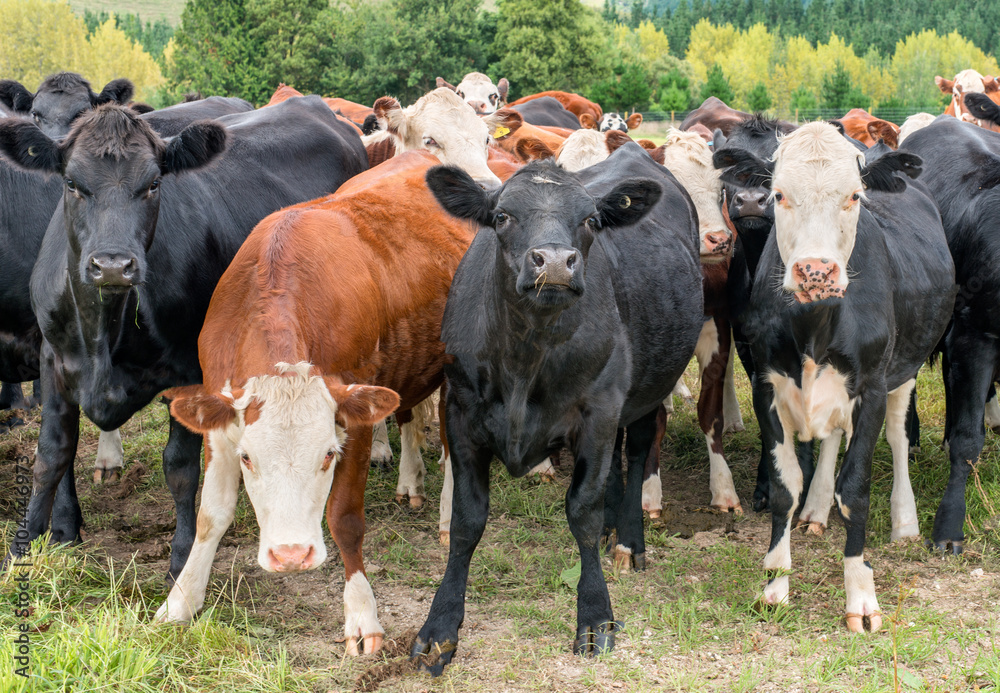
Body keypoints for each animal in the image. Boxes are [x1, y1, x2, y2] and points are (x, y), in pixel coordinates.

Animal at [0, 93, 368, 580]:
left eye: (154, 184)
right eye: (72, 183)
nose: (113, 265)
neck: (104, 337)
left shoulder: (188, 369)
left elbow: (179, 467)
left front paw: (182, 558)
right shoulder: (53, 362)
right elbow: (51, 456)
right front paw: (23, 551)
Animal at [157, 150, 476, 656]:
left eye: (328, 455)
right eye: (248, 459)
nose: (291, 555)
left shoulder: (355, 422)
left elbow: (344, 518)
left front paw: (361, 616)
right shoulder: (221, 424)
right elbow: (212, 515)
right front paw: (181, 601)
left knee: (450, 442)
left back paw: (448, 513)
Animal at [408, 141, 704, 672]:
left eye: (591, 220)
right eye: (502, 216)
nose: (554, 263)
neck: (525, 358)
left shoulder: (598, 414)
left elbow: (581, 511)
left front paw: (596, 617)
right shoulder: (460, 414)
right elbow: (466, 521)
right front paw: (439, 630)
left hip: (650, 388)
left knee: (637, 450)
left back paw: (627, 539)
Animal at [716, 121, 956, 628]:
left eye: (854, 196)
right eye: (779, 194)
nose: (816, 271)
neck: (815, 323)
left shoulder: (871, 388)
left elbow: (856, 489)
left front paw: (860, 595)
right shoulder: (767, 385)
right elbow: (785, 485)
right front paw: (776, 584)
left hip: (904, 368)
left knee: (898, 436)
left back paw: (905, 519)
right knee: (829, 440)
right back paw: (816, 508)